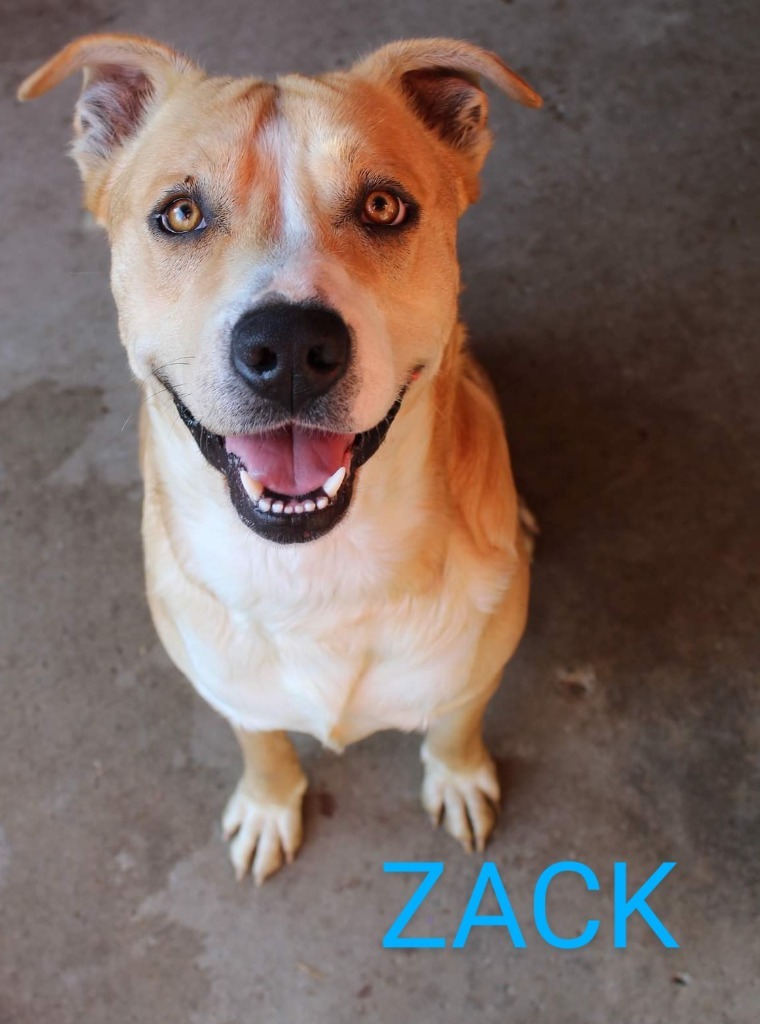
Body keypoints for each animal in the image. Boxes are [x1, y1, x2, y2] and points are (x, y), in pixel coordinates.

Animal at [17, 29, 540, 880]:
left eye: (384, 205)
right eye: (181, 213)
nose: (291, 347)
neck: (316, 575)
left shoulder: (474, 676)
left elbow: (454, 726)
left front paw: (458, 777)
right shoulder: (230, 689)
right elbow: (261, 744)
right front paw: (268, 805)